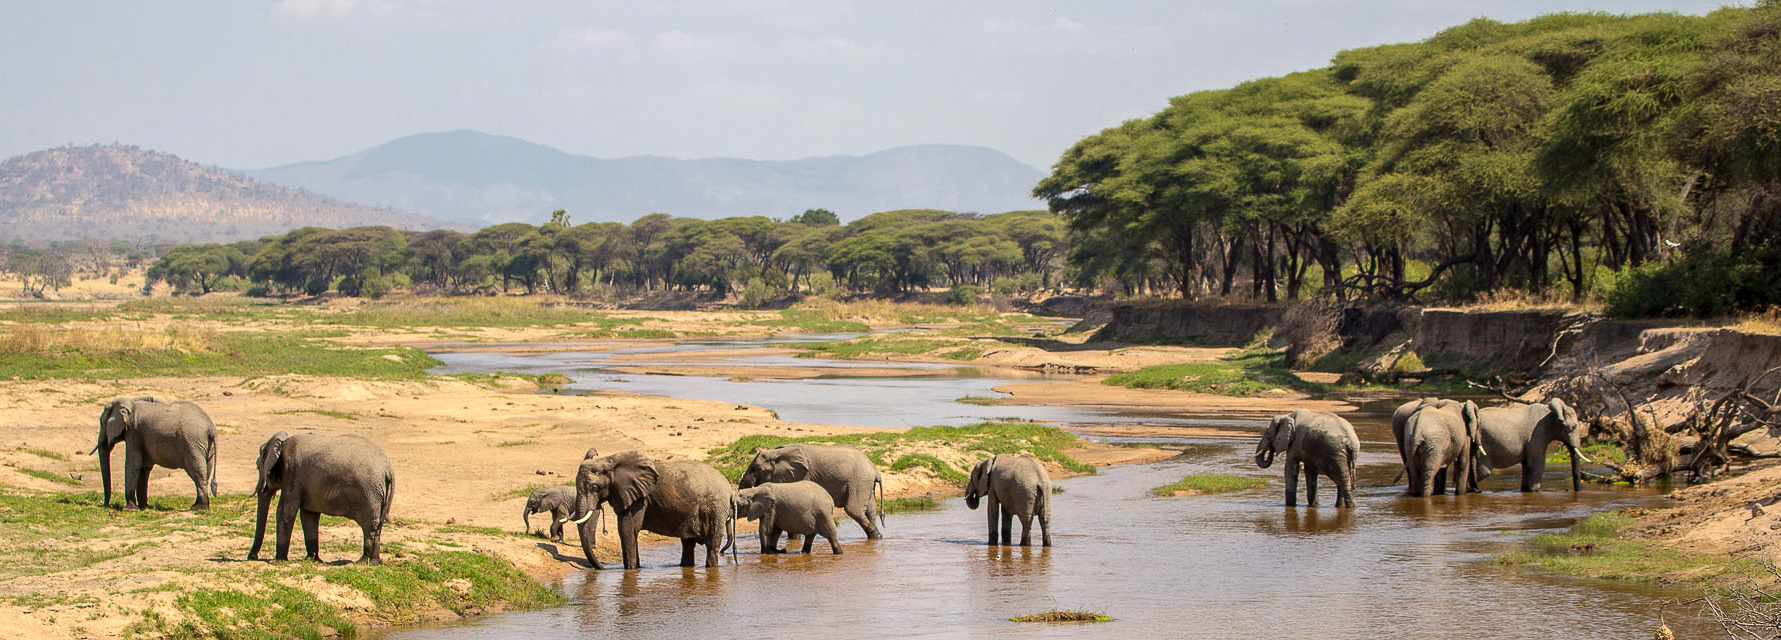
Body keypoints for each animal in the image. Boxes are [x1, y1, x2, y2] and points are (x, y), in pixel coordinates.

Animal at [245, 433, 391, 563]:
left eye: (257, 466)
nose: (252, 557)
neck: (282, 443)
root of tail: (388, 469)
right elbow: (309, 516)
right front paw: (312, 559)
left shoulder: (293, 473)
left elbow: (285, 512)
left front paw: (277, 561)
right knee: (376, 527)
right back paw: (373, 562)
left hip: (369, 494)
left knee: (369, 526)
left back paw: (363, 561)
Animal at [566, 451, 740, 570]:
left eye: (595, 487)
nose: (603, 567)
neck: (611, 460)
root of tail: (730, 491)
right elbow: (630, 531)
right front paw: (637, 569)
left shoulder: (638, 498)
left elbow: (627, 529)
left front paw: (631, 571)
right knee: (688, 544)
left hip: (715, 509)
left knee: (711, 545)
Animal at [737, 445, 883, 541]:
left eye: (757, 469)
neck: (778, 452)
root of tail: (874, 468)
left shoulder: (803, 475)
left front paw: (794, 541)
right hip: (865, 483)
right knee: (870, 510)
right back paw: (876, 537)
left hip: (859, 481)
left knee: (854, 510)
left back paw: (877, 536)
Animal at [1474, 399, 1602, 495]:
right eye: (1574, 426)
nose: (1573, 491)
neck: (1550, 411)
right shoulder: (1536, 436)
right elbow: (1537, 463)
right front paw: (1534, 491)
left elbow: (1527, 464)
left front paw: (1525, 490)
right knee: (1484, 472)